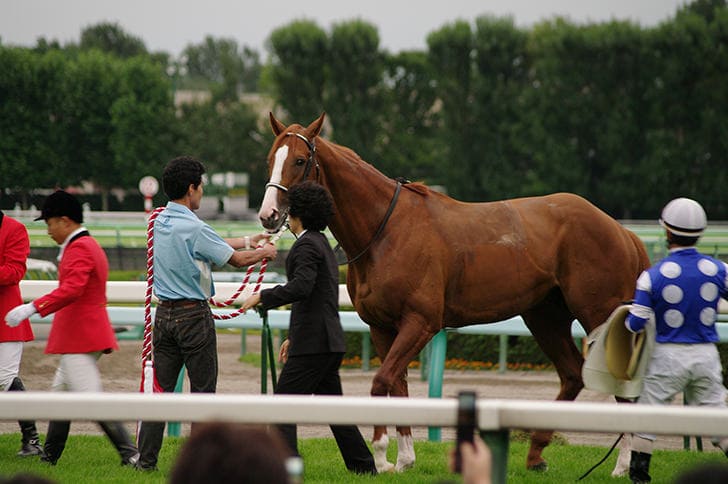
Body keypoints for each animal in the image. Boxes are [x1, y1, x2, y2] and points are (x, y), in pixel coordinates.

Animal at [258, 111, 648, 470]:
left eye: (300, 160)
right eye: (270, 158)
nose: (268, 215)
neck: (385, 231)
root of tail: (620, 229)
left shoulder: (422, 322)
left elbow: (382, 381)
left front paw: (382, 457)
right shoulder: (381, 326)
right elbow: (397, 385)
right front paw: (404, 459)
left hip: (598, 314)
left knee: (618, 384)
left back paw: (623, 464)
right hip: (544, 317)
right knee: (571, 374)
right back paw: (536, 454)